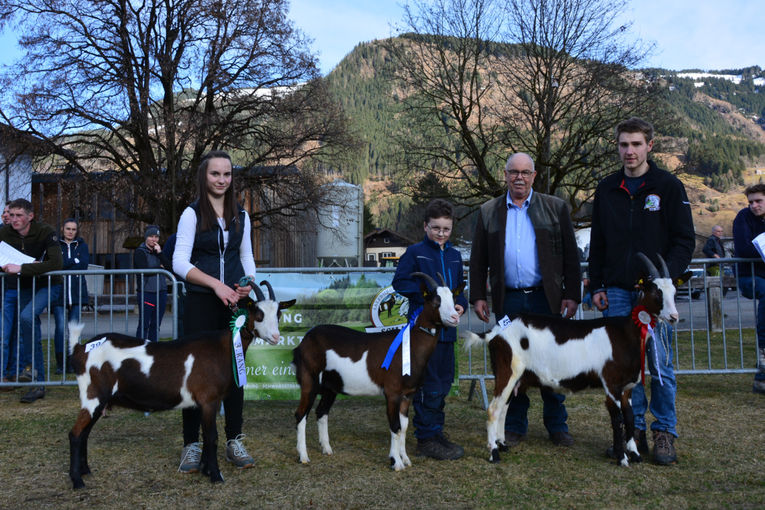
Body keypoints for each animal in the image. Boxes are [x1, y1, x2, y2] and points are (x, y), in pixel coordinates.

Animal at [66, 280, 292, 488]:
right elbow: (211, 437)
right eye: (258, 313)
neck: (223, 347)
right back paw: (77, 481)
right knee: (75, 434)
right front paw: (216, 476)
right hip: (92, 396)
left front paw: (205, 470)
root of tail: (80, 348)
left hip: (99, 400)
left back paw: (86, 471)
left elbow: (206, 436)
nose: (275, 337)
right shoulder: (209, 400)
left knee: (84, 433)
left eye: (278, 314)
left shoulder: (204, 402)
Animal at [290, 272, 460, 472]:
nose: (455, 317)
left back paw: (327, 448)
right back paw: (303, 456)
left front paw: (405, 459)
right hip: (309, 379)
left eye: (453, 299)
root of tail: (303, 343)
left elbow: (404, 426)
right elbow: (395, 426)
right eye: (435, 301)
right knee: (301, 414)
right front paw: (396, 462)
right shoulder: (392, 392)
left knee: (321, 412)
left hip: (331, 385)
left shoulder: (408, 395)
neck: (410, 345)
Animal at [462, 254, 688, 466]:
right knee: (494, 409)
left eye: (674, 292)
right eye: (655, 292)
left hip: (518, 377)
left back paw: (502, 444)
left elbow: (630, 418)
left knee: (504, 407)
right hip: (508, 370)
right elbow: (617, 420)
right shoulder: (611, 384)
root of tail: (495, 331)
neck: (626, 331)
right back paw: (494, 453)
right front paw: (622, 458)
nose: (674, 317)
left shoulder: (627, 388)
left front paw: (635, 454)